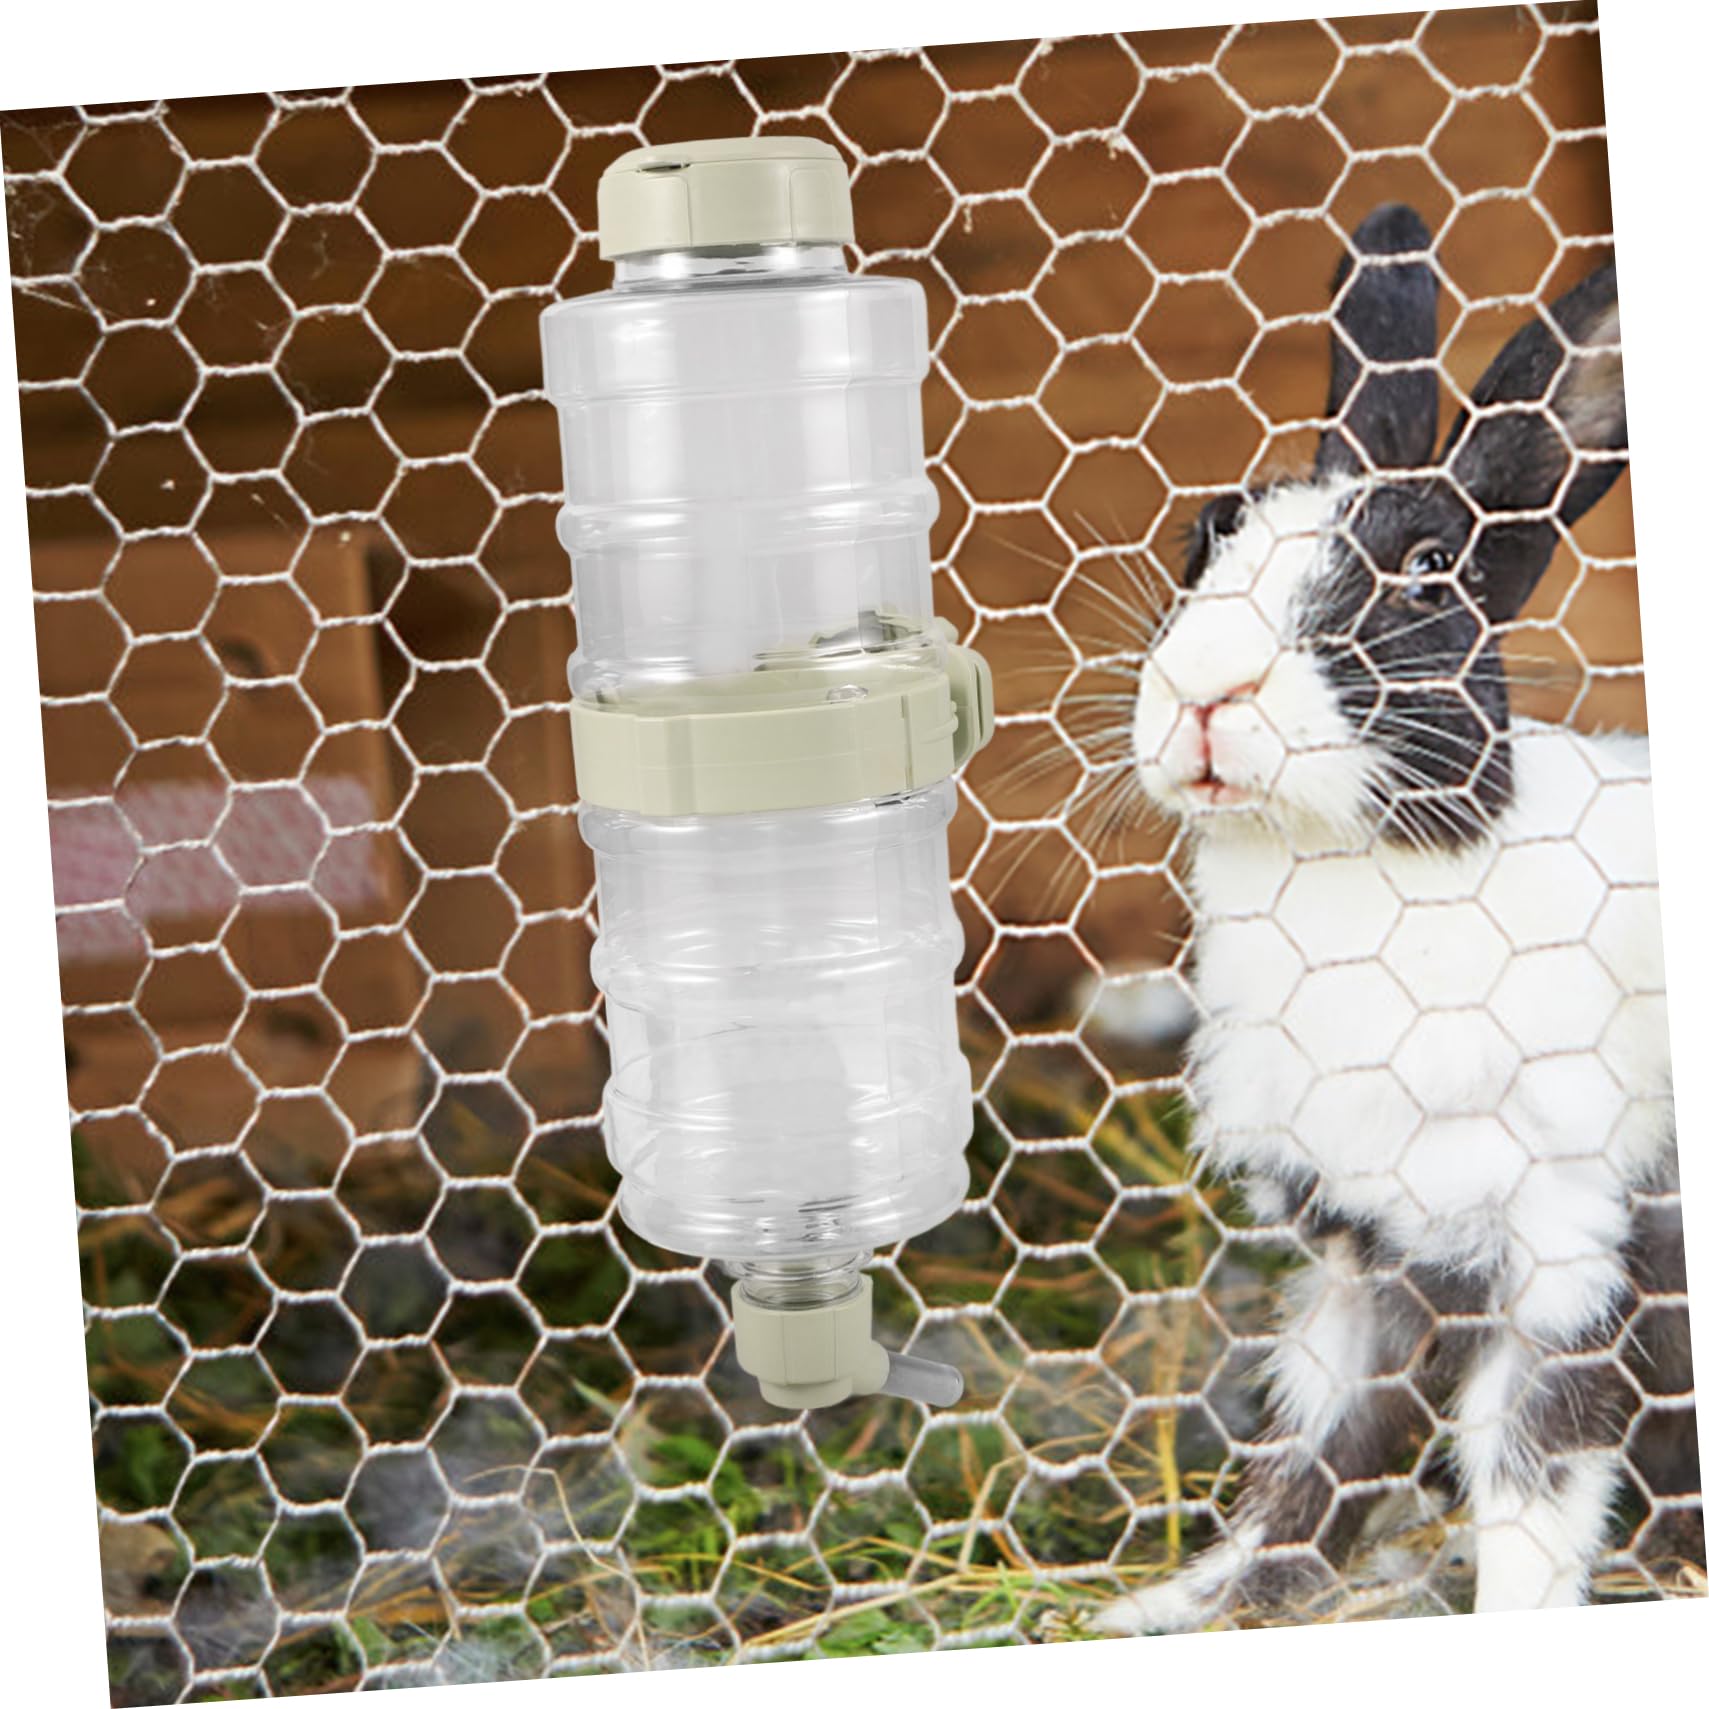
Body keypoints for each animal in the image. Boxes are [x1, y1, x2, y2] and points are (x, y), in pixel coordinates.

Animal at [1094, 203, 1696, 1634]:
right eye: (1207, 531)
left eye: (1427, 573)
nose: (1206, 695)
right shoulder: (1365, 1275)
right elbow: (1315, 1457)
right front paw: (1178, 1606)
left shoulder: (1570, 1255)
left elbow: (1526, 1477)